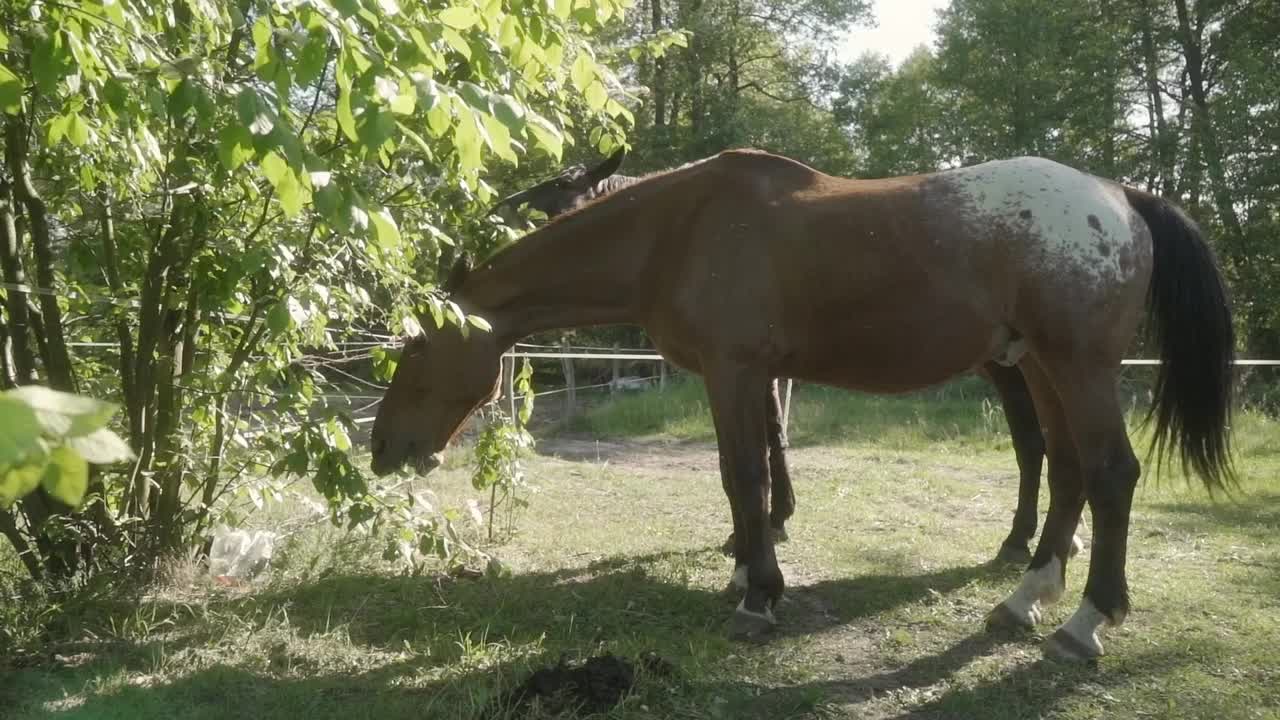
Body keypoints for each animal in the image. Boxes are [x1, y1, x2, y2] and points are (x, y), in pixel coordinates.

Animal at [486, 148, 1070, 563]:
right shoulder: (758, 370)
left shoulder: (745, 369)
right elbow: (767, 442)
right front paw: (771, 522)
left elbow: (760, 448)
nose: (502, 214)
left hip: (1015, 369)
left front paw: (762, 530)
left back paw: (1020, 541)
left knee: (1031, 445)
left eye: (573, 189)